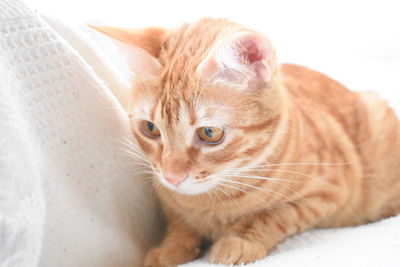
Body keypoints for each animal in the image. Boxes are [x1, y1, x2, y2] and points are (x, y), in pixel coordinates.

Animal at [92, 17, 400, 266]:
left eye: (210, 133)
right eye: (150, 128)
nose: (172, 177)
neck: (214, 202)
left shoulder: (327, 191)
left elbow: (273, 215)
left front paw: (237, 242)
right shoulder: (168, 198)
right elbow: (179, 223)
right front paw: (169, 249)